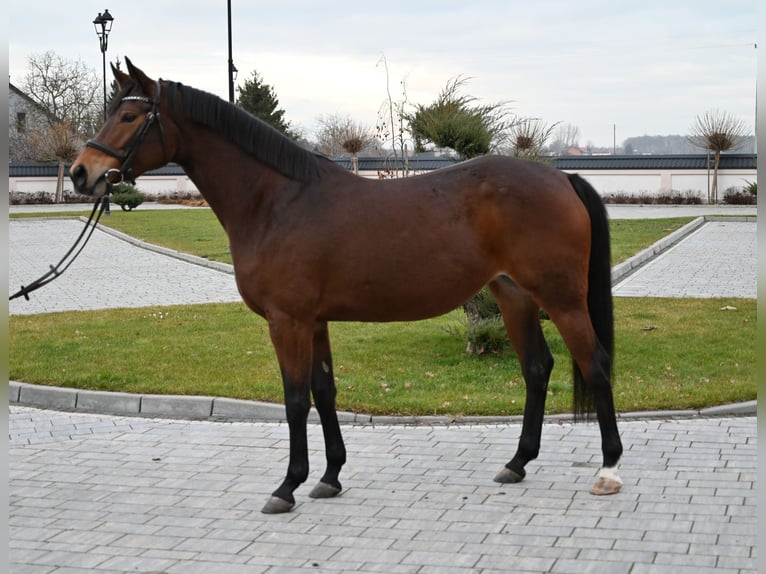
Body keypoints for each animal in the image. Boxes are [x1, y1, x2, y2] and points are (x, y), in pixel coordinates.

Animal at [70, 59, 624, 516]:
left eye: (128, 117)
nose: (81, 173)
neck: (277, 201)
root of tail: (561, 178)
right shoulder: (314, 321)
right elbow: (324, 391)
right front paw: (330, 477)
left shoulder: (287, 321)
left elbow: (295, 399)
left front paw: (287, 487)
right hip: (514, 297)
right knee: (537, 368)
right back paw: (517, 463)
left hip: (563, 299)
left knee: (594, 365)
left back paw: (608, 470)